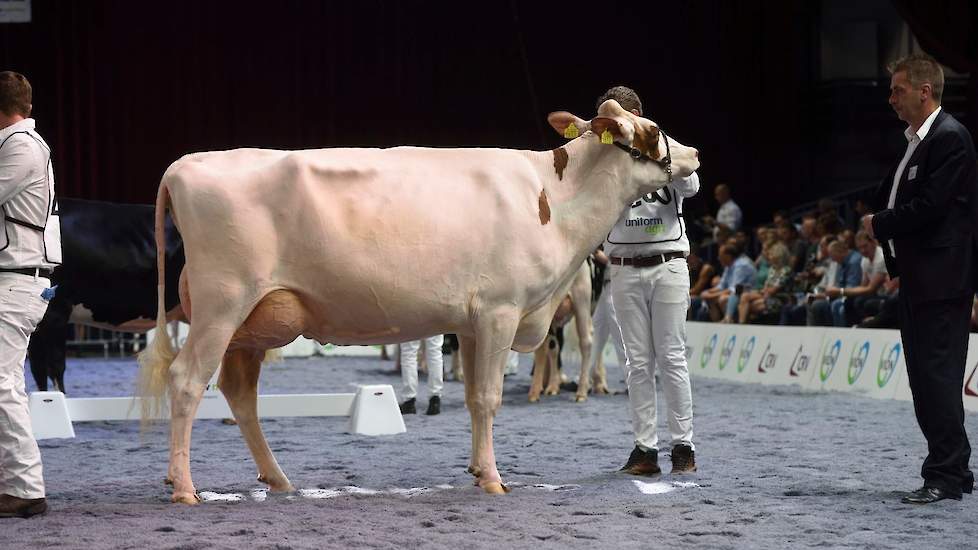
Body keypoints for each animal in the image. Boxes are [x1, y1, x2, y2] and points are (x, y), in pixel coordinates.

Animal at [139, 101, 700, 506]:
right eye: (653, 129)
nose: (694, 153)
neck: (553, 198)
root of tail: (188, 164)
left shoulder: (473, 322)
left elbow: (472, 398)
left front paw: (476, 469)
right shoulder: (500, 310)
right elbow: (489, 398)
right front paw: (494, 479)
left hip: (257, 319)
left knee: (239, 392)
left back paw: (277, 479)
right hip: (223, 303)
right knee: (187, 381)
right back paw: (184, 488)